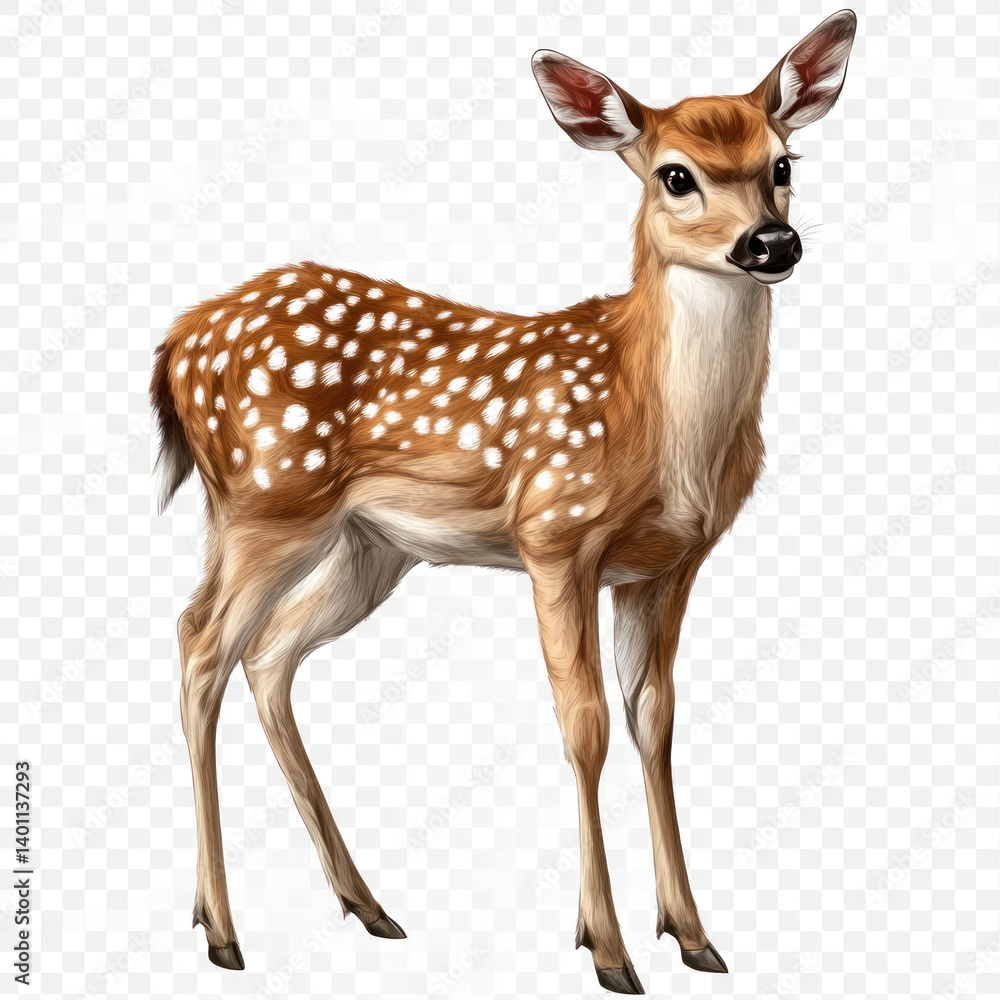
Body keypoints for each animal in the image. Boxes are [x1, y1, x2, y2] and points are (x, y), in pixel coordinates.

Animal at [151, 10, 856, 994]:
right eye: (676, 174)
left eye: (783, 164)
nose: (770, 244)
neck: (656, 423)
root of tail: (179, 342)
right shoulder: (554, 535)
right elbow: (585, 725)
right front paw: (607, 947)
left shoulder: (669, 565)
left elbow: (655, 720)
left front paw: (694, 934)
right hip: (267, 499)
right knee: (202, 644)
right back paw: (222, 929)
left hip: (369, 546)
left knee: (270, 654)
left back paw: (367, 906)